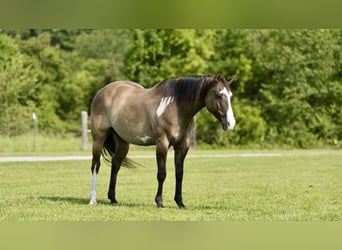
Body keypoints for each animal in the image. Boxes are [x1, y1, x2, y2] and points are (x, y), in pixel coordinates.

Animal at [89, 73, 235, 209]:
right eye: (218, 94)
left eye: (230, 95)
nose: (230, 123)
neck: (176, 107)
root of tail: (102, 91)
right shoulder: (162, 144)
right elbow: (161, 174)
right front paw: (159, 202)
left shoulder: (182, 146)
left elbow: (179, 174)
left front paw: (180, 202)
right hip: (98, 138)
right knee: (96, 165)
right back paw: (93, 199)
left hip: (123, 142)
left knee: (115, 165)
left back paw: (113, 199)